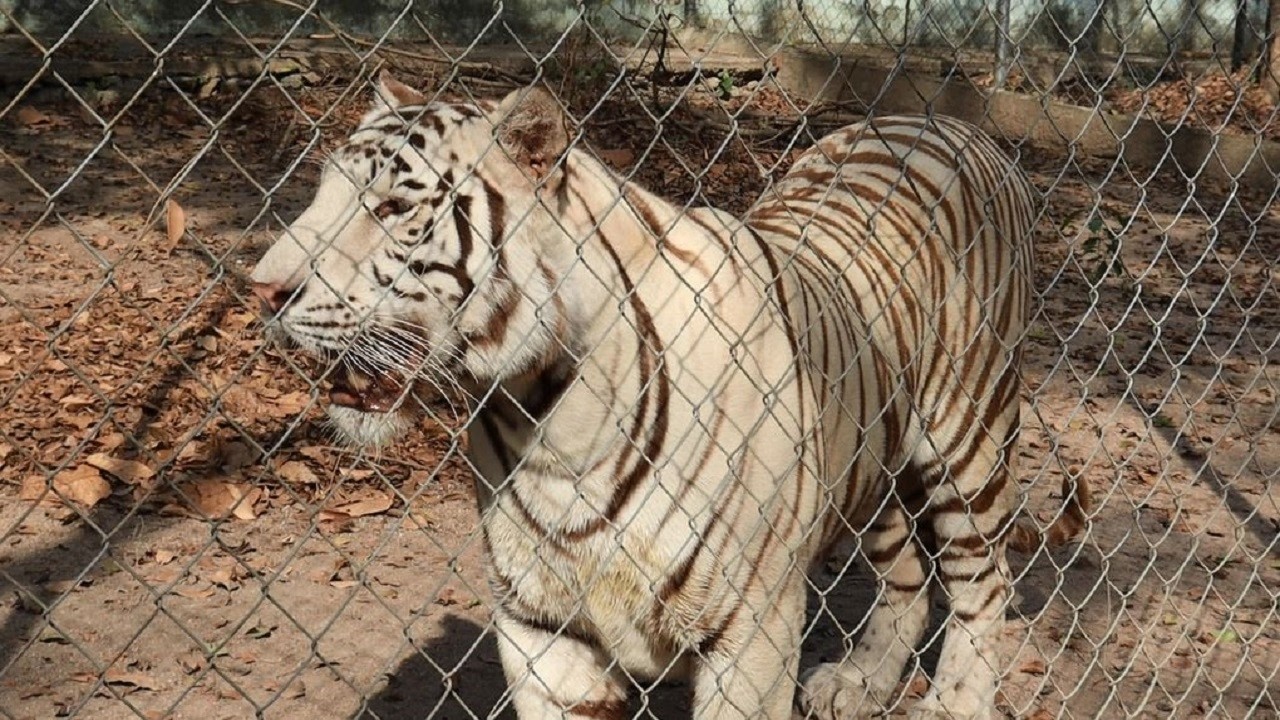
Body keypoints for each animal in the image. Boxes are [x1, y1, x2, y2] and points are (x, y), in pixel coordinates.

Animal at [249, 72, 1088, 719]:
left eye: (393, 209)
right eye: (324, 191)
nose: (263, 290)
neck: (549, 424)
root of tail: (956, 123)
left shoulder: (750, 630)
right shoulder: (541, 628)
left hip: (969, 438)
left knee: (983, 580)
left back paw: (955, 702)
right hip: (870, 452)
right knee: (906, 577)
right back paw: (860, 681)